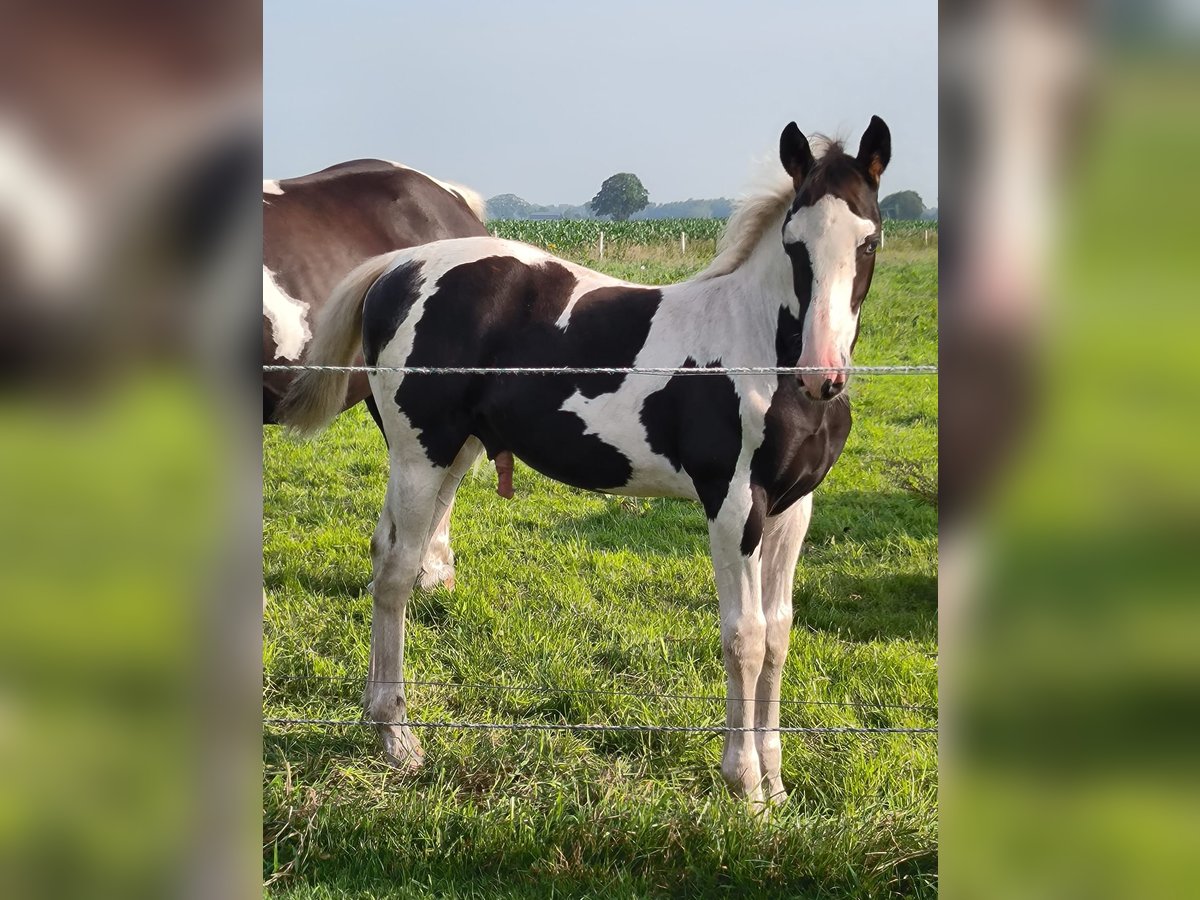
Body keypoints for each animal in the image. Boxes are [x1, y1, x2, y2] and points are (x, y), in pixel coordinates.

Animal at [274, 118, 892, 801]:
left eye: (868, 240)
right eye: (794, 243)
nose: (822, 375)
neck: (759, 354)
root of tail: (396, 268)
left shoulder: (792, 508)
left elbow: (779, 634)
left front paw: (777, 787)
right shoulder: (733, 508)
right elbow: (745, 637)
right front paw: (745, 787)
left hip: (449, 454)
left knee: (386, 552)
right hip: (420, 453)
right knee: (395, 575)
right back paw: (397, 740)